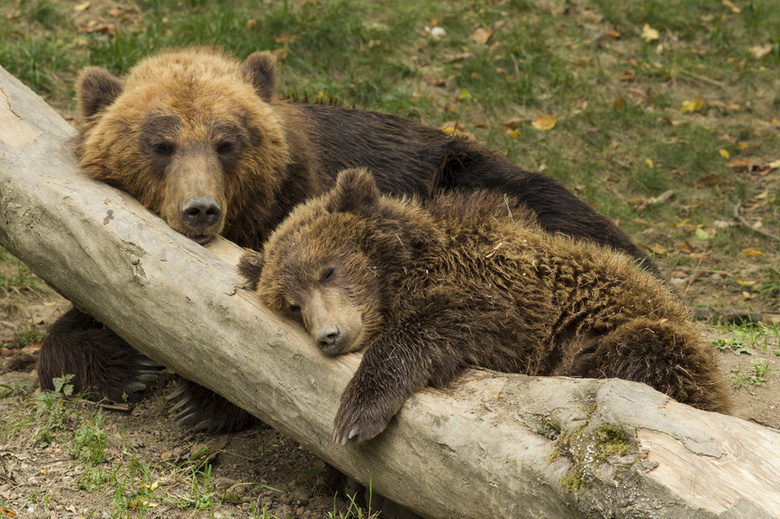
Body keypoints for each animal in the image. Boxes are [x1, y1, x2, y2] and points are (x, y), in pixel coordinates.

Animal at [36, 46, 660, 432]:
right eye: (160, 143)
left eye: (226, 141)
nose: (200, 210)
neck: (246, 221)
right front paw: (122, 364)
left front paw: (198, 400)